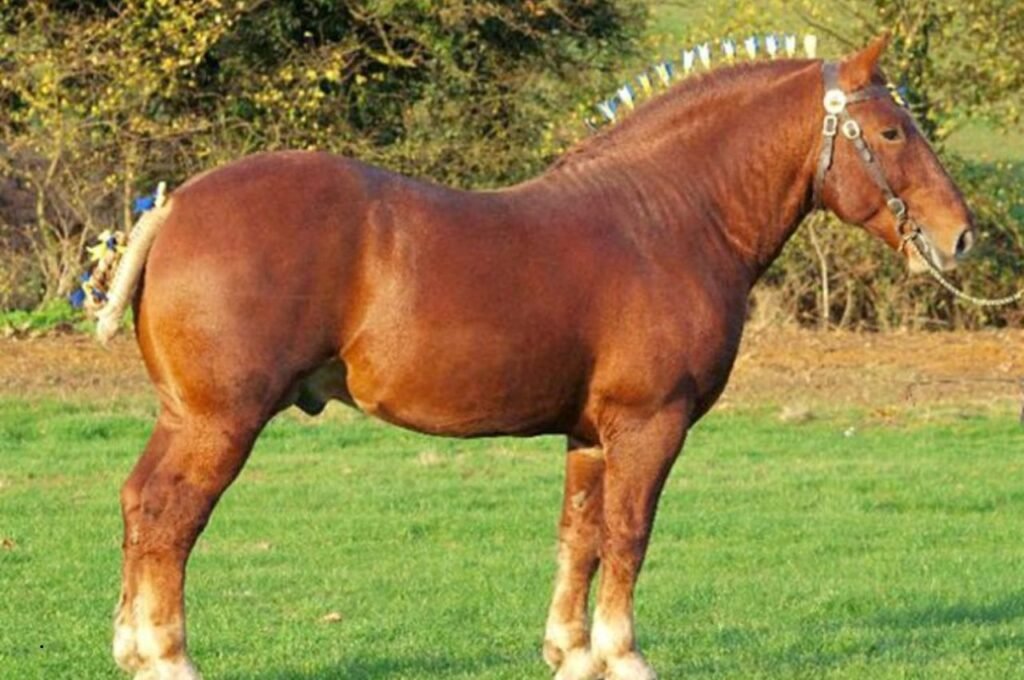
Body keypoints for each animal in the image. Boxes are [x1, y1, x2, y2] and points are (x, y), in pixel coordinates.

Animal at [100, 35, 975, 680]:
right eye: (891, 132)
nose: (961, 236)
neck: (666, 220)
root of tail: (174, 205)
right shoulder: (649, 425)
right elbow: (628, 533)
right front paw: (624, 653)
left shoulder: (589, 435)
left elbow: (579, 536)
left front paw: (573, 652)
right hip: (222, 421)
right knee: (172, 517)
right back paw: (168, 658)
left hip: (185, 416)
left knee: (140, 503)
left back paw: (132, 649)